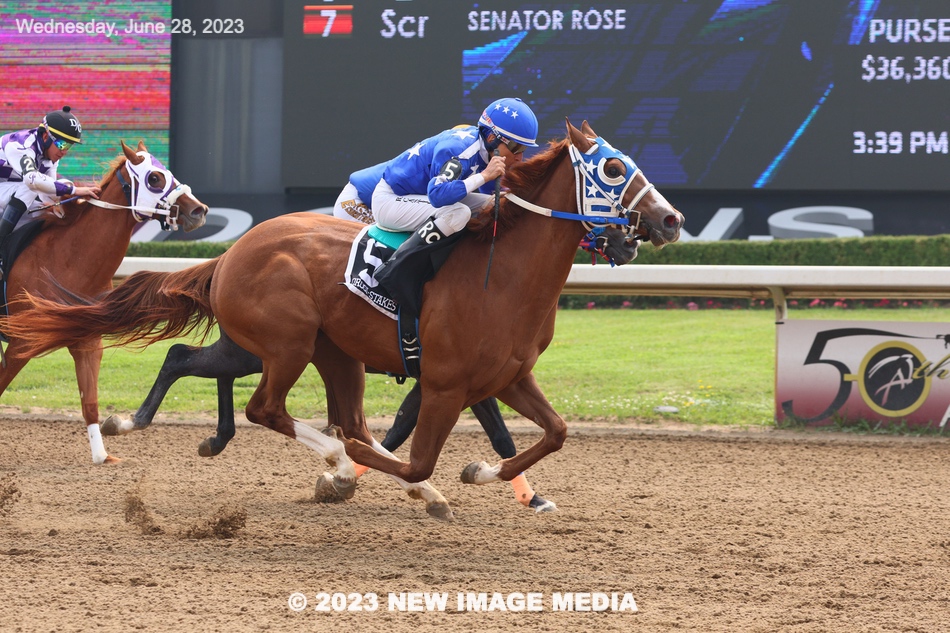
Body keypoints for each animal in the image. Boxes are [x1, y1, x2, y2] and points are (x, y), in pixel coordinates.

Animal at [0, 141, 207, 462]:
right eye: (154, 178)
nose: (198, 210)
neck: (66, 260)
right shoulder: (22, 344)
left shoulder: (87, 341)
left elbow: (90, 403)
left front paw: (103, 454)